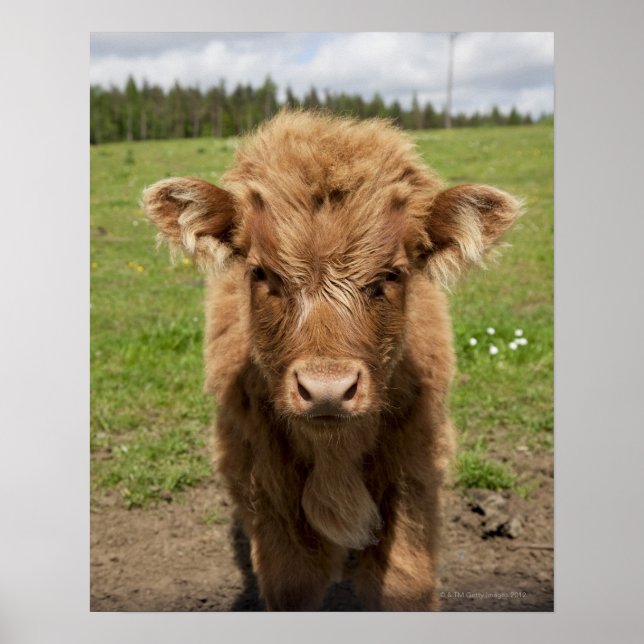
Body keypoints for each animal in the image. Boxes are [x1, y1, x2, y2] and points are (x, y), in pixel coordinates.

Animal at [142, 110, 519, 611]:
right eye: (261, 273)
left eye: (392, 274)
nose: (327, 390)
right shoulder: (267, 487)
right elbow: (292, 583)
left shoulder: (415, 472)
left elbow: (404, 583)